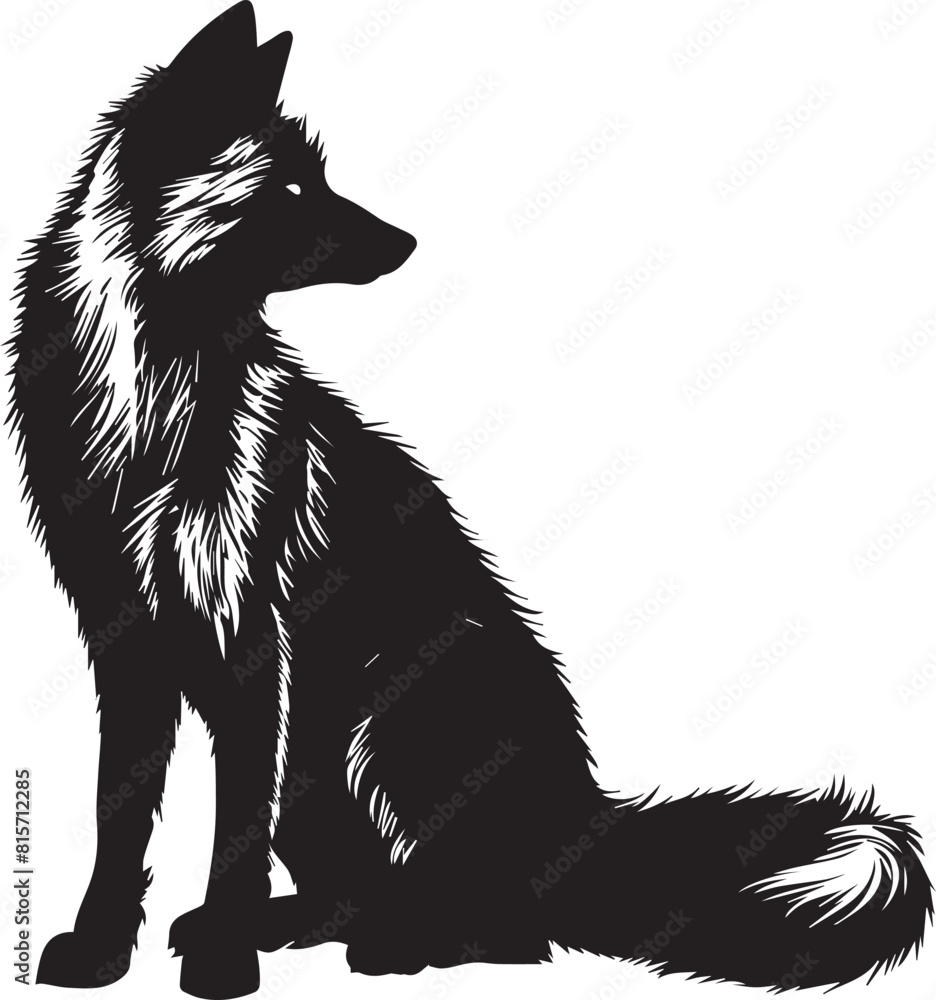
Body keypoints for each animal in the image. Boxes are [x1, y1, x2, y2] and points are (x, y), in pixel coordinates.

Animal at [9, 3, 933, 998]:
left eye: (320, 175)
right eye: (290, 188)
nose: (406, 244)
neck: (152, 396)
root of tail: (580, 824)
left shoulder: (253, 639)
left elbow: (233, 832)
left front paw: (223, 957)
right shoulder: (125, 641)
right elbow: (118, 817)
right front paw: (101, 948)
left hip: (387, 719)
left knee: (505, 925)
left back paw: (406, 943)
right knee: (367, 890)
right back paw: (318, 926)